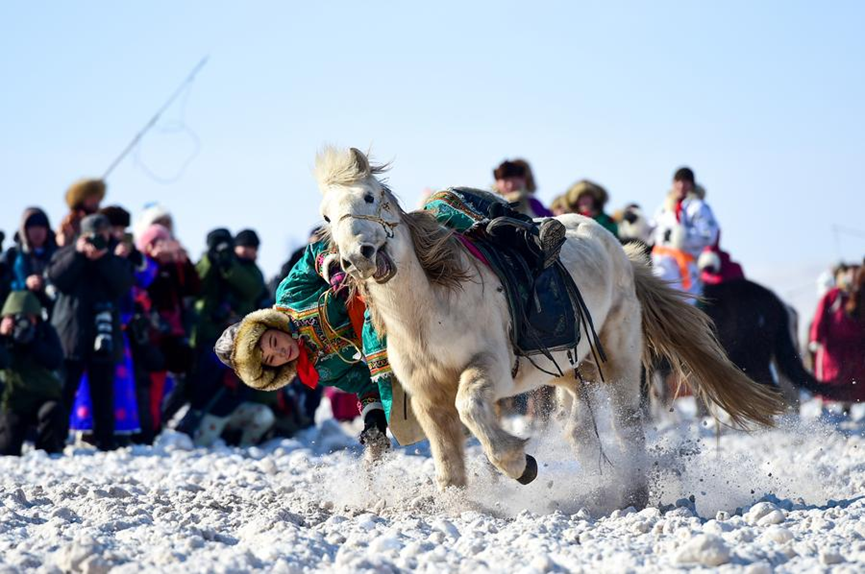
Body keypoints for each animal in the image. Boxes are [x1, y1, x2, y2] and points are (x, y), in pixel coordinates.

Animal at [316, 146, 784, 506]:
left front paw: (519, 463)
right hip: (570, 371)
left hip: (618, 359)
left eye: (370, 197)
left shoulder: (490, 369)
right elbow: (448, 461)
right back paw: (599, 484)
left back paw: (631, 495)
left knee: (627, 427)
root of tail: (619, 249)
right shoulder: (426, 395)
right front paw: (462, 506)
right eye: (326, 215)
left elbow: (471, 407)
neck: (430, 309)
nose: (357, 256)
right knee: (580, 432)